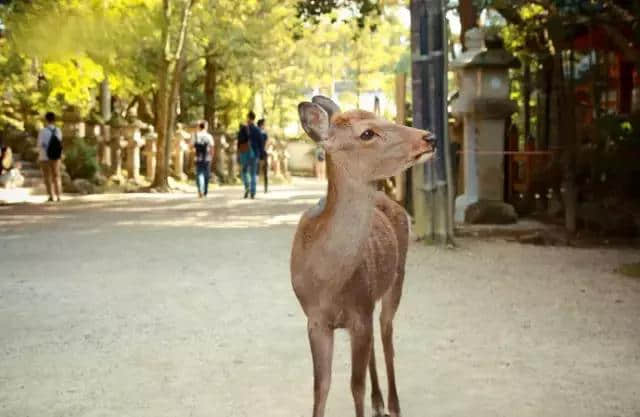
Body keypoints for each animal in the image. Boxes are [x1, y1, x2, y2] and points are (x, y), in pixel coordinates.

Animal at [290, 95, 436, 416]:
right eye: (367, 133)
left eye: (386, 120)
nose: (429, 137)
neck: (329, 282)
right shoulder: (316, 320)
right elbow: (321, 387)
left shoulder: (361, 311)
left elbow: (355, 386)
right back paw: (378, 401)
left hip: (398, 277)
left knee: (387, 334)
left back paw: (393, 403)